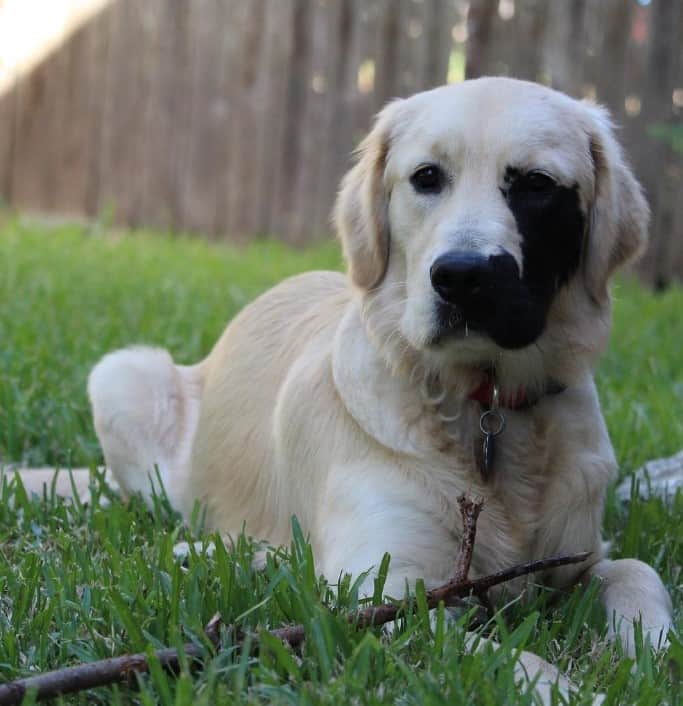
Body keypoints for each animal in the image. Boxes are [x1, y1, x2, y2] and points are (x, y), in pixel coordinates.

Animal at [12, 75, 672, 700]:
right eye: (426, 177)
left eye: (537, 184)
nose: (462, 277)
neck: (484, 407)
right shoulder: (392, 593)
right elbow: (509, 659)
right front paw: (575, 690)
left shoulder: (579, 557)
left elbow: (637, 569)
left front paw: (655, 652)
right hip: (122, 379)